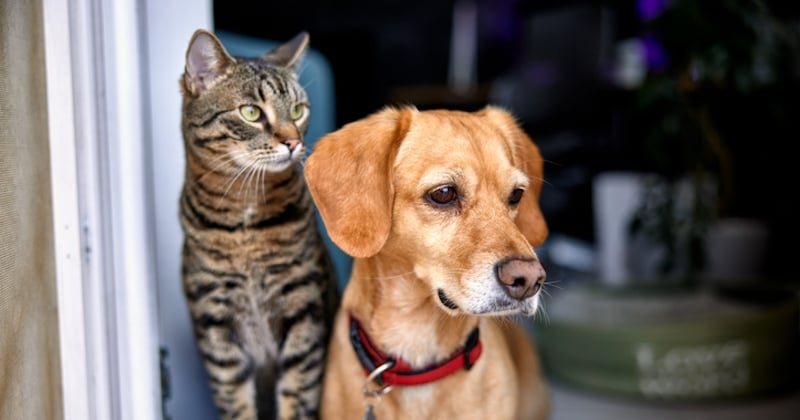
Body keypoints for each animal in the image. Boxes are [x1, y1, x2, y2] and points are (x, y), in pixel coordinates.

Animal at [177, 29, 340, 420]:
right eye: (251, 112)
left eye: (297, 110)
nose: (293, 141)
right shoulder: (216, 325)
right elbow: (234, 401)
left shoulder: (303, 310)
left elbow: (298, 395)